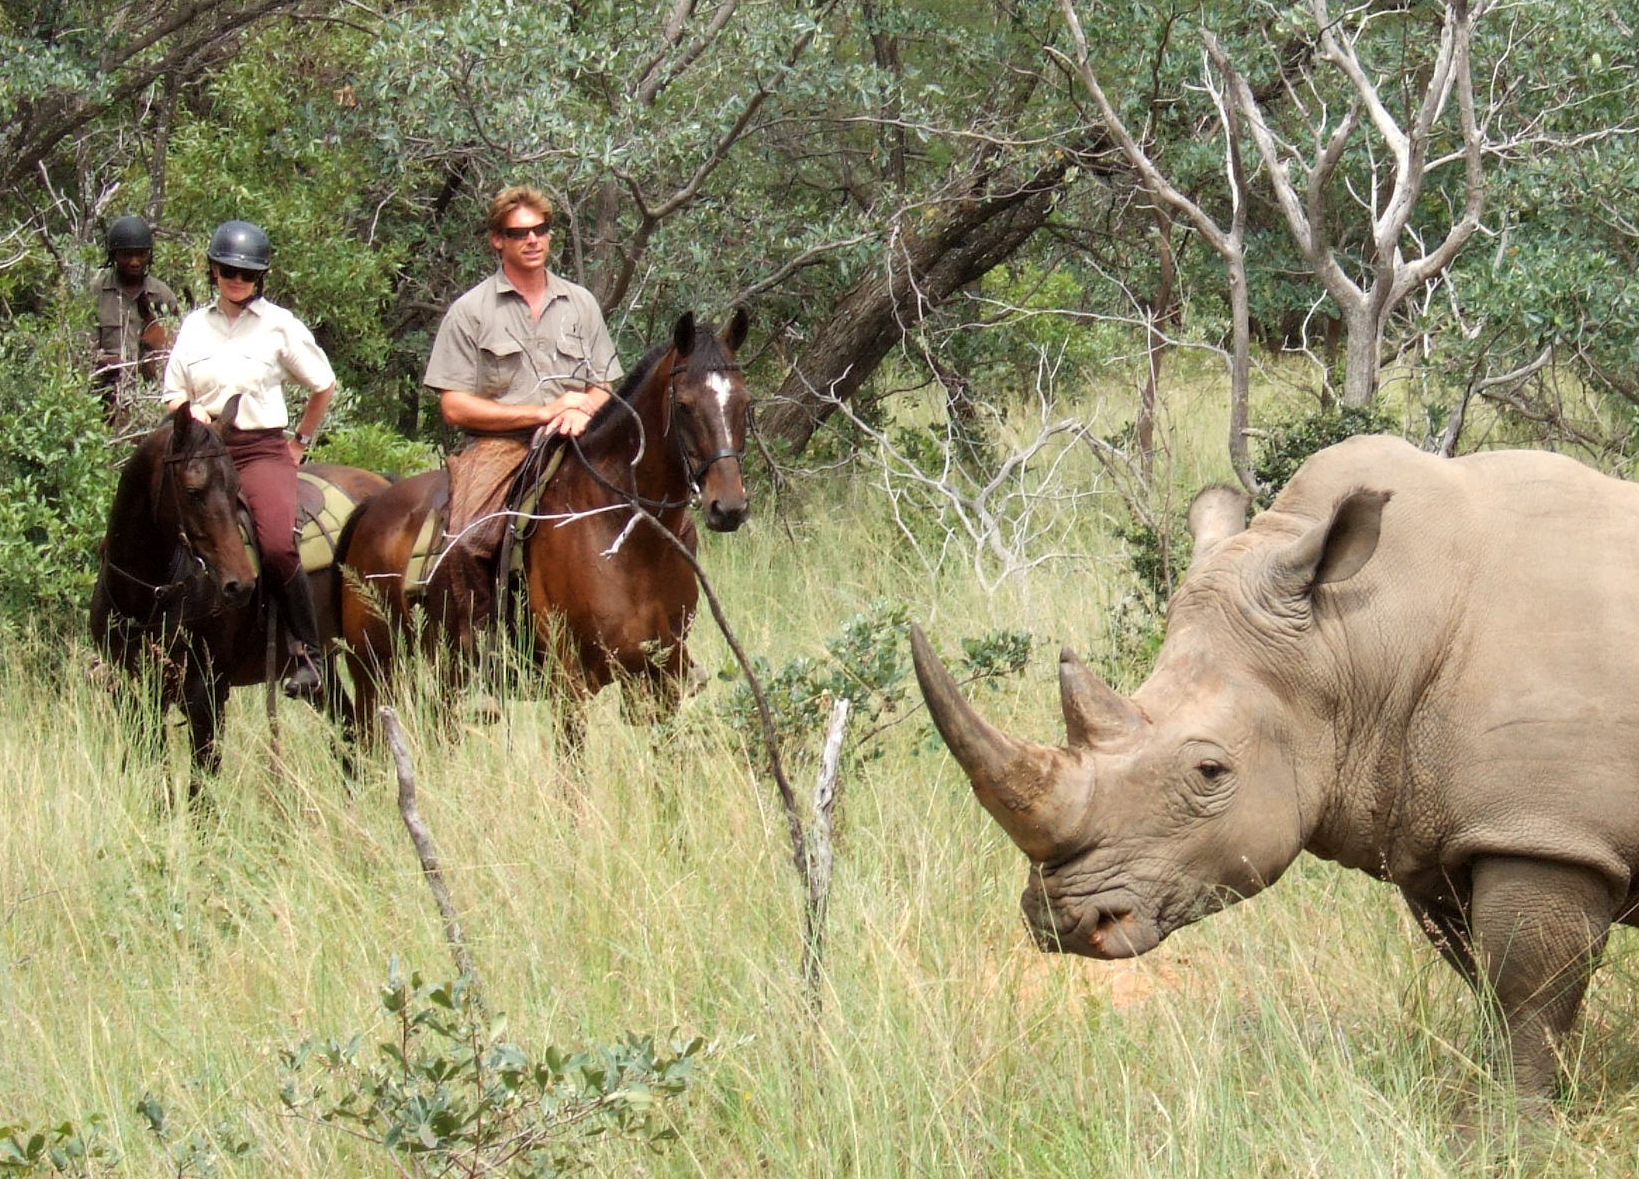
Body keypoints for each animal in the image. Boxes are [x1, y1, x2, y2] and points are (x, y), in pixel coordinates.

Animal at [92, 403, 390, 783]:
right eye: (192, 489)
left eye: (235, 488)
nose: (240, 584)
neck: (147, 595)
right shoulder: (133, 694)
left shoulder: (207, 695)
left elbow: (200, 784)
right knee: (348, 733)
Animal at [342, 308, 757, 734]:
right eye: (685, 405)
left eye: (745, 402)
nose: (728, 508)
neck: (628, 540)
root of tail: (372, 507)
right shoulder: (569, 681)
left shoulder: (659, 681)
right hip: (373, 669)